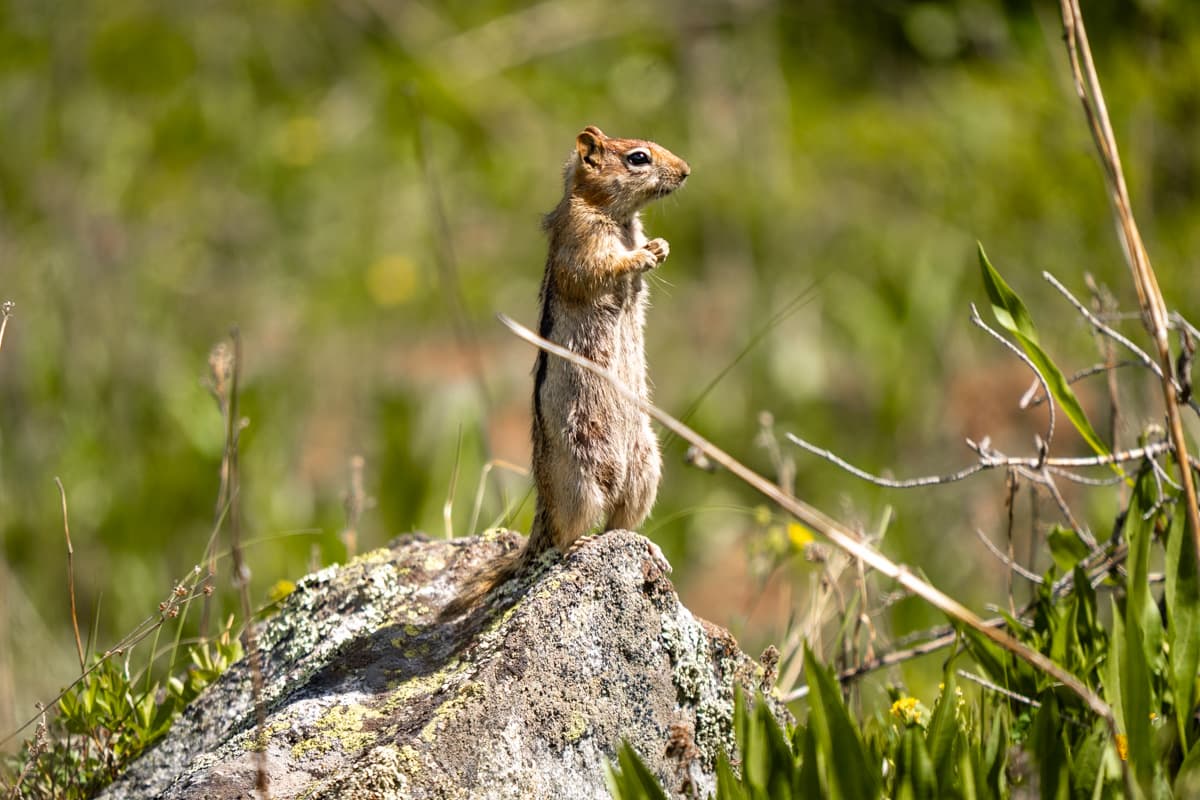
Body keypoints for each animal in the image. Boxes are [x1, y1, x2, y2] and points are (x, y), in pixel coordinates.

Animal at [443, 126, 690, 618]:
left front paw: (661, 247)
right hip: (578, 477)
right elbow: (596, 268)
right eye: (638, 158)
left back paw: (646, 547)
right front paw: (642, 255)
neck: (616, 216)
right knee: (566, 535)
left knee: (619, 526)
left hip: (646, 468)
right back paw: (577, 548)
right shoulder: (581, 239)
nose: (688, 171)